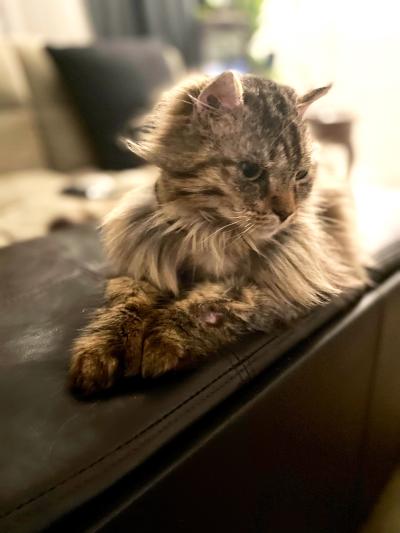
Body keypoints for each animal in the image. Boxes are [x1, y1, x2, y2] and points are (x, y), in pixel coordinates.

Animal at [68, 70, 366, 392]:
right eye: (250, 171)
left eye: (300, 175)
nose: (287, 214)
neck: (208, 232)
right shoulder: (141, 270)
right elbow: (126, 305)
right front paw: (100, 353)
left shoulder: (275, 286)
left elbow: (206, 305)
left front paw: (161, 343)